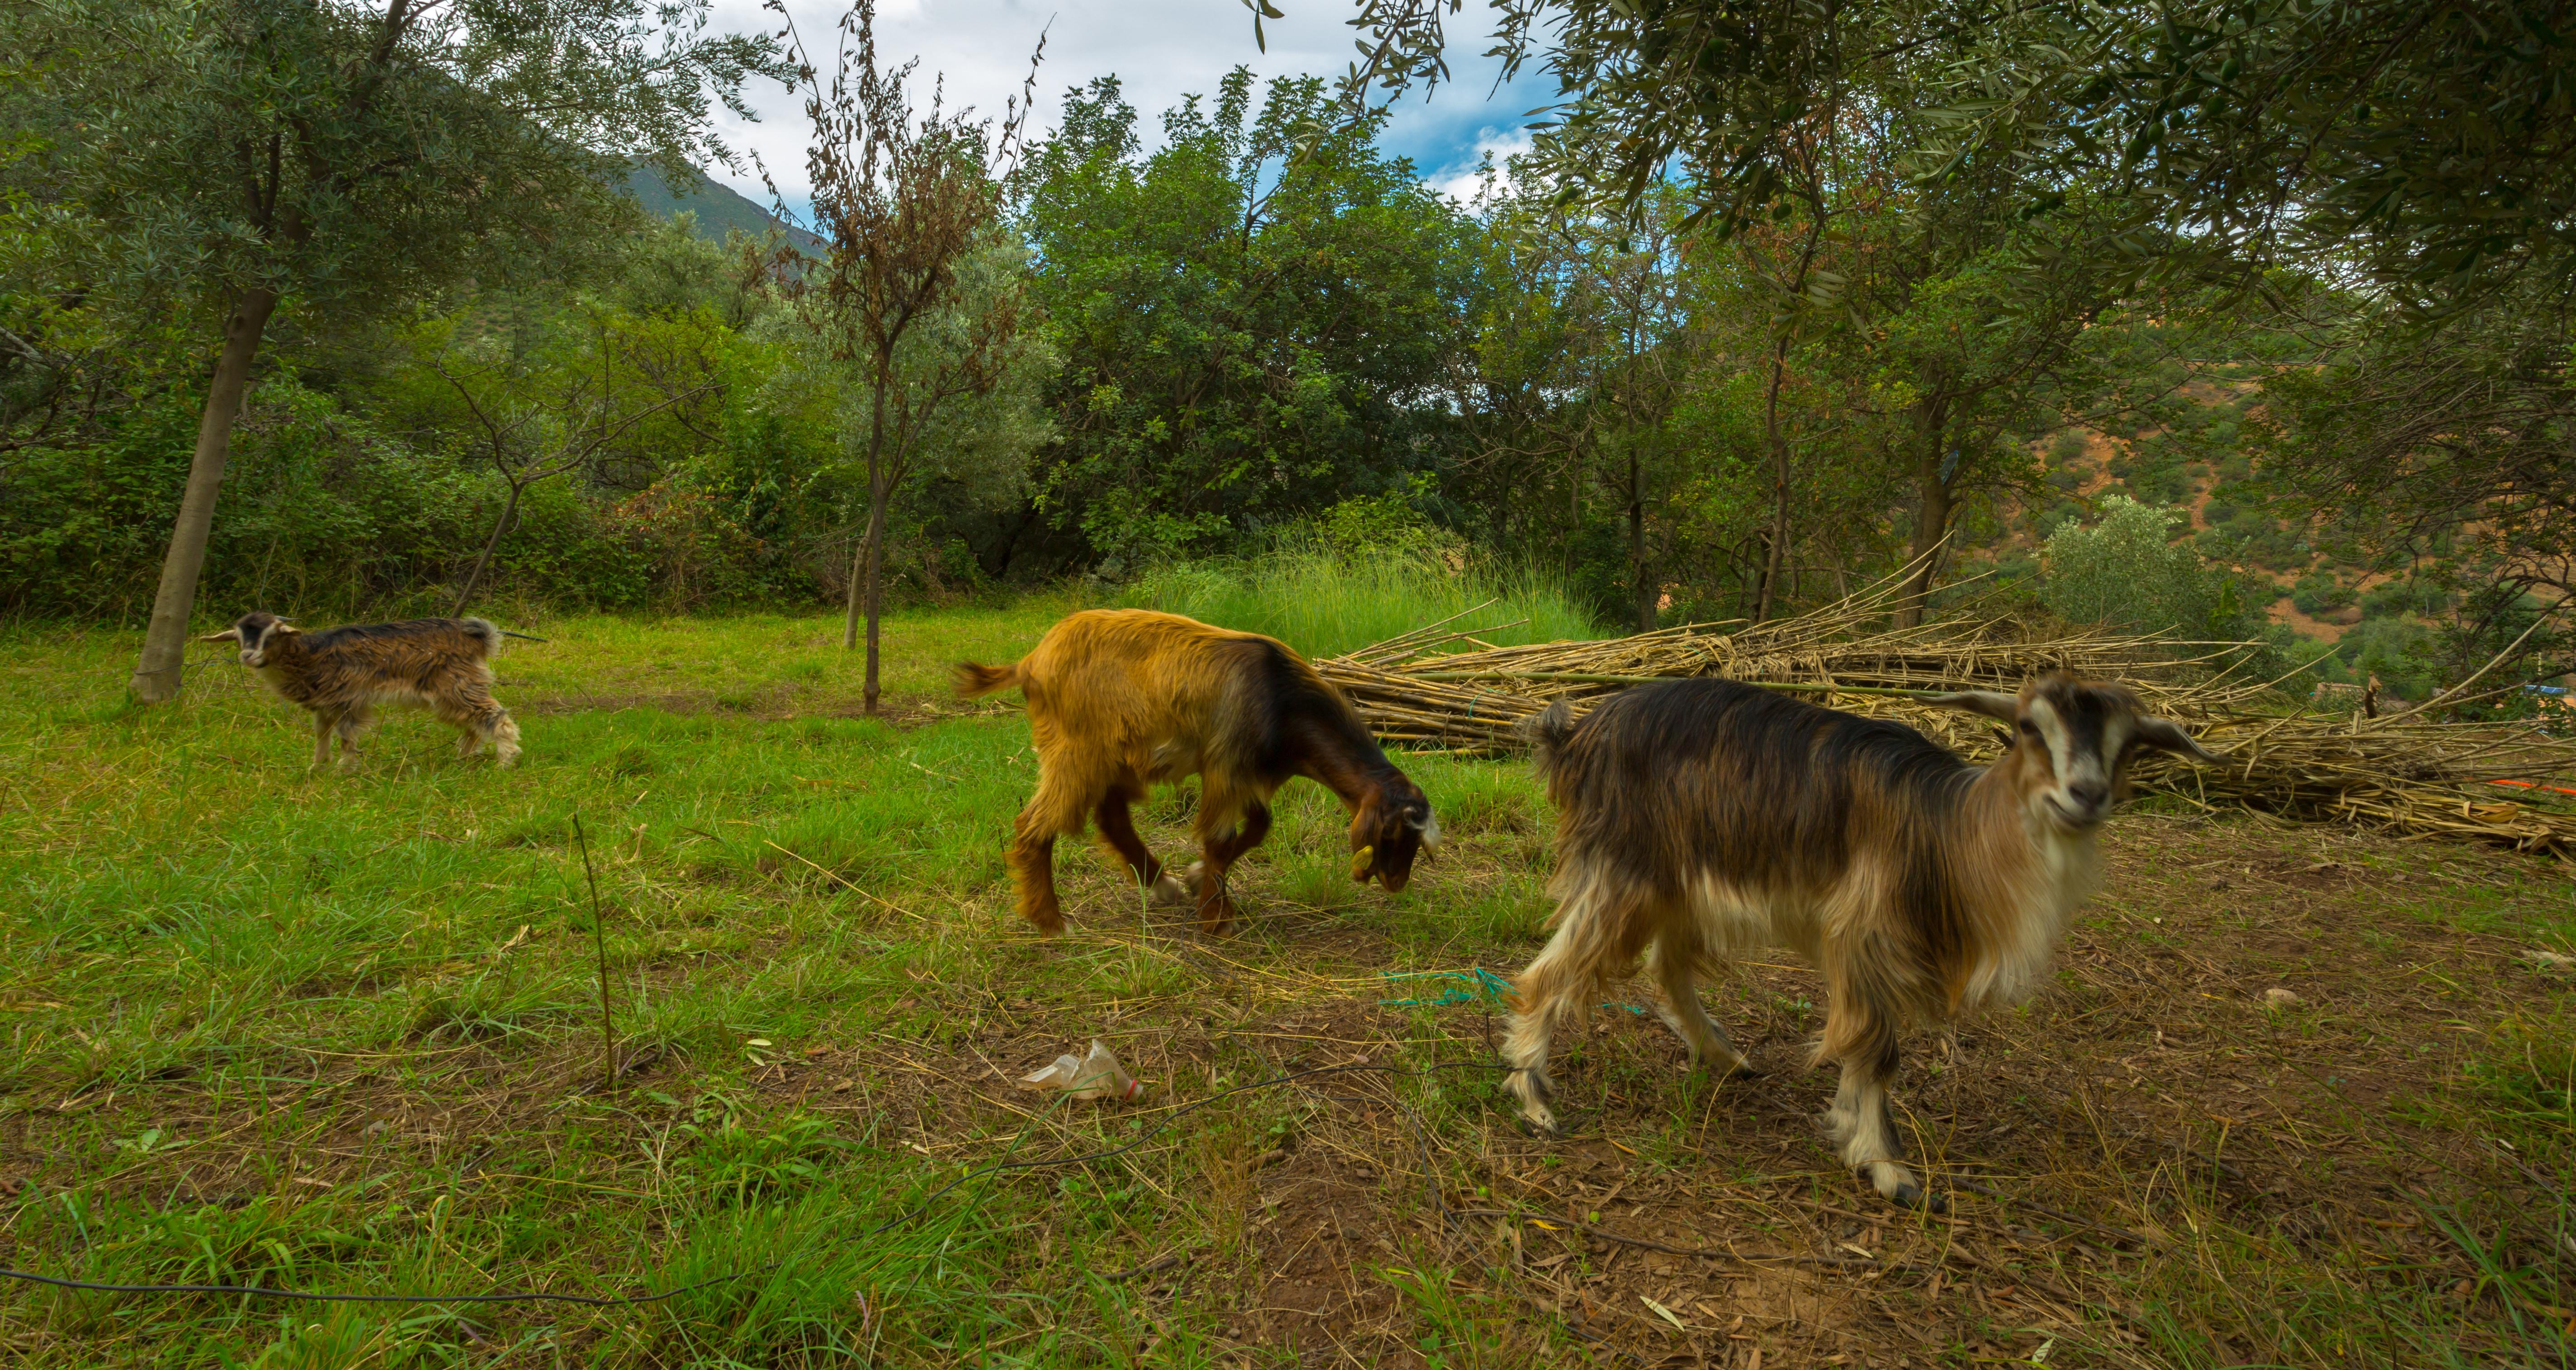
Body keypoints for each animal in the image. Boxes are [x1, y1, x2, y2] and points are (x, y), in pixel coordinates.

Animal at [204, 613, 523, 772]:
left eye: (271, 636)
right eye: (238, 637)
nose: (248, 656)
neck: (310, 656)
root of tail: (477, 639)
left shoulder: (350, 699)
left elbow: (346, 735)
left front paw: (345, 768)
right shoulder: (325, 706)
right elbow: (322, 733)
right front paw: (317, 767)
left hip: (458, 685)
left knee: (495, 716)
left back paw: (505, 760)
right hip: (447, 696)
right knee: (473, 723)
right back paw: (464, 758)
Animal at [958, 613, 1442, 942]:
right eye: (1394, 834)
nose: (1397, 884)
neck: (1282, 701)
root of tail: (1031, 661)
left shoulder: (1247, 775)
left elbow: (1257, 828)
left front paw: (1197, 881)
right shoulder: (1226, 767)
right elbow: (1219, 838)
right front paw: (1215, 917)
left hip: (1112, 755)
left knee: (1112, 815)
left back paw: (1162, 885)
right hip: (1075, 752)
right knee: (1034, 825)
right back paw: (1052, 922)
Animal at [1504, 675, 2215, 1210]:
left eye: (2132, 745)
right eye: (2028, 727)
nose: (2085, 795)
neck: (1948, 828)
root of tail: (1578, 734)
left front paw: (1855, 1134)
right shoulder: (1863, 931)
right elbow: (1875, 1047)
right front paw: (1887, 1167)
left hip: (1681, 877)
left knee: (1669, 966)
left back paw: (1727, 1057)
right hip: (1625, 868)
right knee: (1550, 972)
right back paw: (1534, 1099)